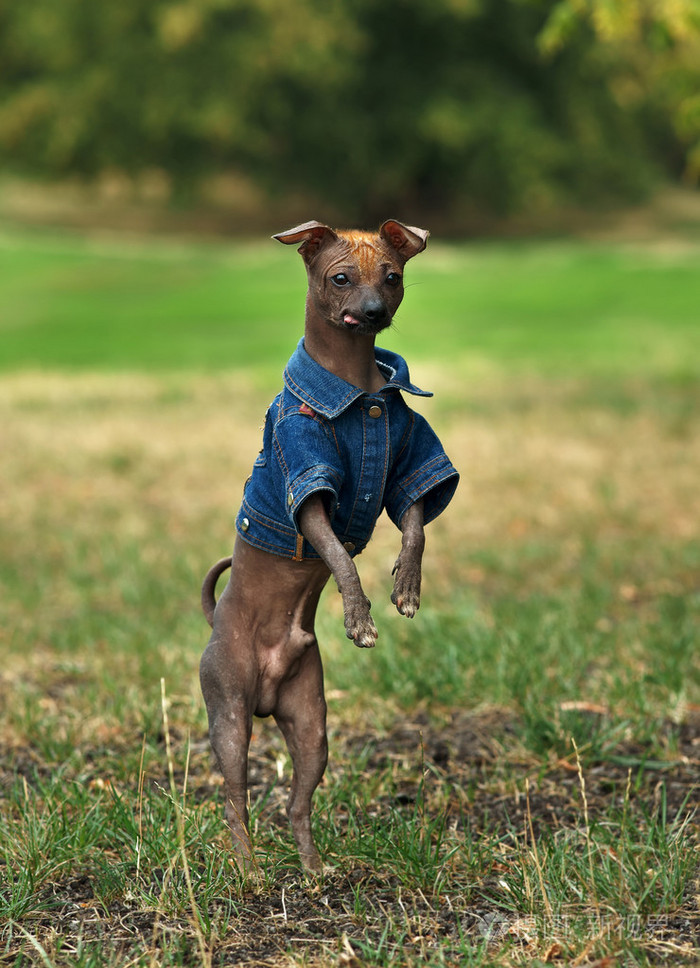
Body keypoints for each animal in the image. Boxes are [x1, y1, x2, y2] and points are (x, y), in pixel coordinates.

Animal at [198, 223, 460, 872]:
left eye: (392, 275)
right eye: (340, 277)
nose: (372, 311)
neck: (359, 390)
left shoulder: (408, 461)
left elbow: (415, 524)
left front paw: (406, 586)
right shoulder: (309, 486)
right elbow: (339, 555)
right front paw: (360, 617)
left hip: (310, 722)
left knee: (297, 802)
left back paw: (314, 870)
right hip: (229, 712)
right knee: (234, 799)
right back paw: (248, 870)